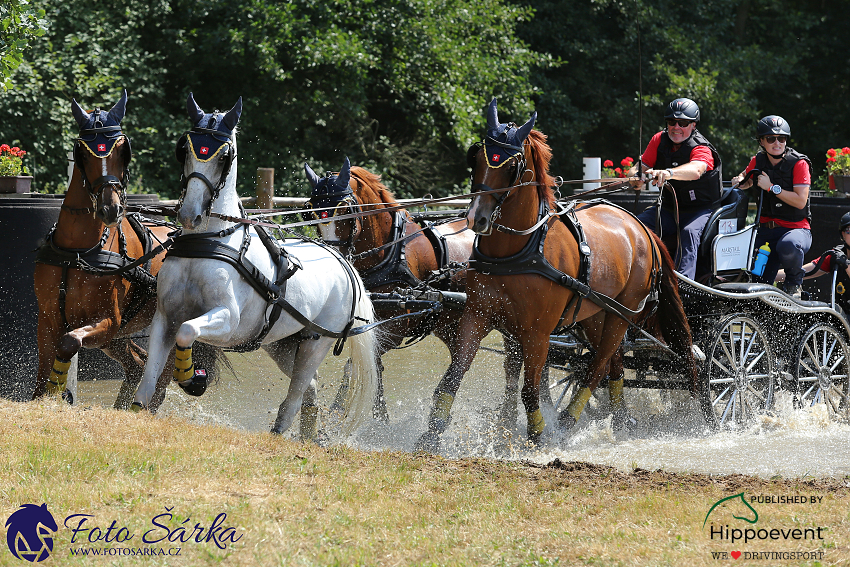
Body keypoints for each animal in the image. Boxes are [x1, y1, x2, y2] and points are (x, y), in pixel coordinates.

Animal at [32, 91, 177, 410]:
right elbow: (42, 372)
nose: (111, 209)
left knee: (161, 378)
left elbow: (69, 343)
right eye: (84, 153)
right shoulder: (47, 319)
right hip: (119, 337)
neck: (78, 252)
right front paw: (45, 397)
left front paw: (59, 392)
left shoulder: (108, 322)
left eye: (123, 150)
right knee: (136, 365)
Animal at [302, 160, 528, 426]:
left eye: (346, 211)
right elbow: (371, 366)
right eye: (310, 214)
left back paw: (511, 419)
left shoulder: (395, 329)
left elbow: (360, 365)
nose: (335, 258)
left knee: (513, 364)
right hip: (451, 324)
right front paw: (377, 418)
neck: (390, 251)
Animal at [414, 98, 700, 452]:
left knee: (596, 366)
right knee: (613, 362)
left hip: (623, 315)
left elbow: (529, 389)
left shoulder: (537, 332)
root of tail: (641, 227)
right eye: (477, 158)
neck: (518, 250)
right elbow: (452, 377)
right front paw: (432, 434)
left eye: (511, 166)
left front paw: (537, 437)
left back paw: (566, 424)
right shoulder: (477, 316)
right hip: (596, 313)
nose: (476, 218)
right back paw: (620, 420)